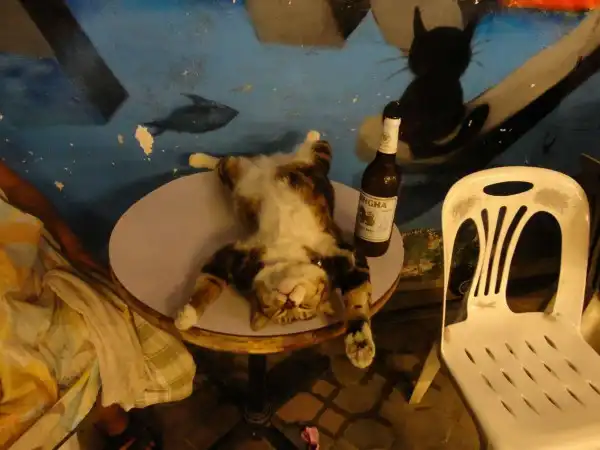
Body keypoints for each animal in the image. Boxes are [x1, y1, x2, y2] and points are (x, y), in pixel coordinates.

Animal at [174, 131, 376, 369]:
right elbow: (207, 286)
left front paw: (360, 346)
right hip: (241, 172)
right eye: (281, 310)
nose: (290, 301)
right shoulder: (232, 256)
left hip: (305, 159)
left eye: (303, 307)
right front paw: (186, 316)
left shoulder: (349, 256)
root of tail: (276, 162)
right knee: (223, 161)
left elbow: (358, 301)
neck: (285, 253)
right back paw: (197, 158)